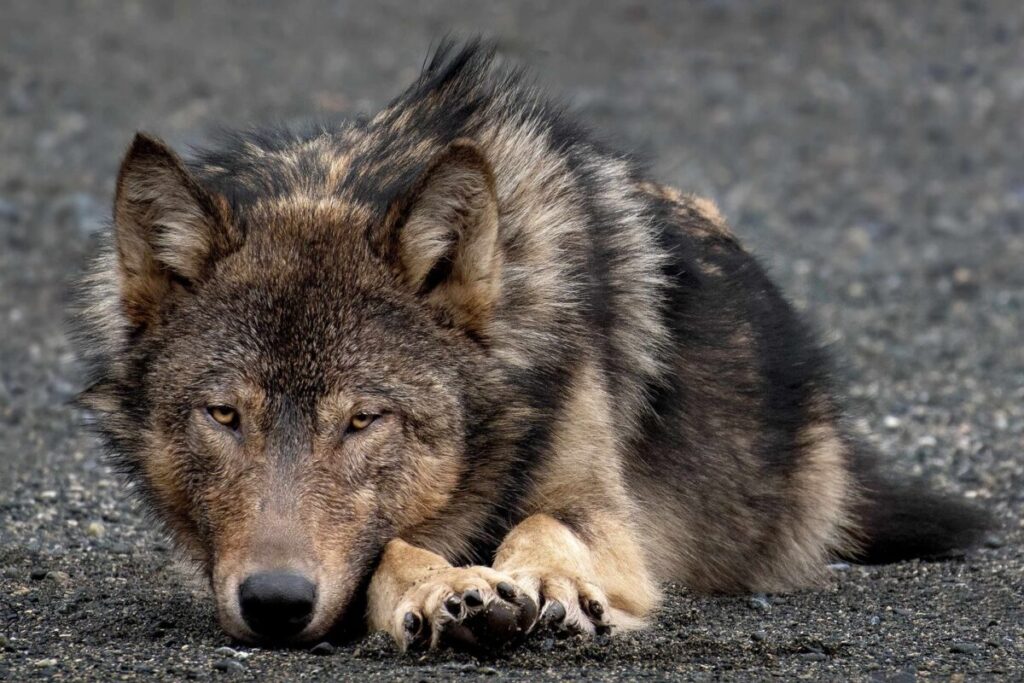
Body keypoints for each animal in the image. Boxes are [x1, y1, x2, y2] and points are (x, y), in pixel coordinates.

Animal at [73, 41, 992, 650]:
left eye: (365, 419)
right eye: (224, 415)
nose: (273, 602)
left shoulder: (611, 521)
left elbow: (547, 521)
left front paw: (544, 577)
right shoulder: (215, 561)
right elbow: (390, 549)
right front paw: (447, 588)